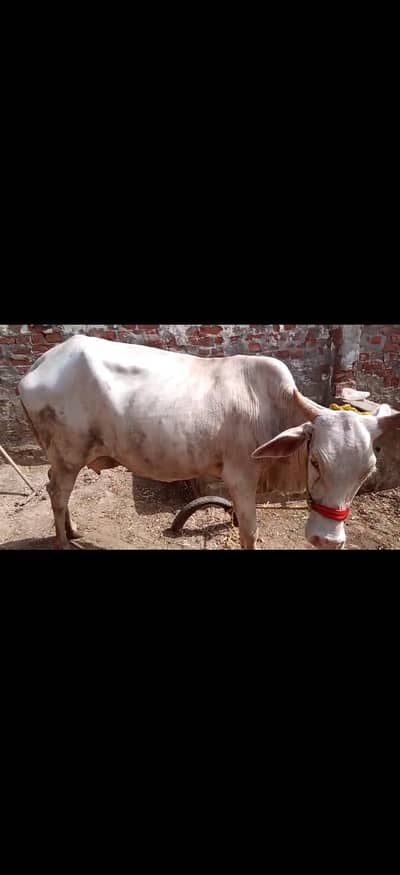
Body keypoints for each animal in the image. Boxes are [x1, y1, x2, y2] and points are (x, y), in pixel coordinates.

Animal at [17, 334, 399, 550]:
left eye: (367, 473)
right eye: (316, 461)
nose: (327, 540)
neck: (275, 409)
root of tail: (41, 363)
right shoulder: (240, 478)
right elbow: (249, 534)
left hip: (63, 457)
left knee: (56, 490)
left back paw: (73, 531)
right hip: (68, 455)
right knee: (57, 493)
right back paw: (63, 542)